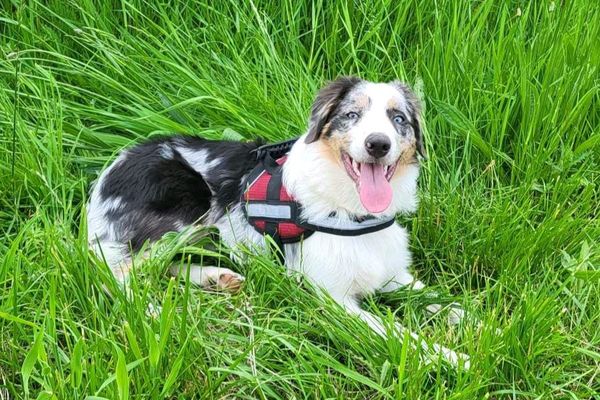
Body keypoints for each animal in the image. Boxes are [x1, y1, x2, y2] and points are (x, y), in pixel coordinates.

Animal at [86, 76, 468, 368]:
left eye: (398, 118)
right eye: (351, 115)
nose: (378, 144)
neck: (350, 211)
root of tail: (112, 168)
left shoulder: (392, 275)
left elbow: (447, 302)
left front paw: (479, 329)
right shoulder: (332, 298)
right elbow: (402, 335)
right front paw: (454, 357)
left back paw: (216, 278)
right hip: (186, 213)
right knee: (116, 274)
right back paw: (154, 312)